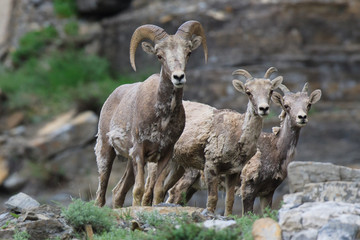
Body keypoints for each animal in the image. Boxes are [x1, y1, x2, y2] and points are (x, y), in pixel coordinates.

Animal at [148, 66, 282, 215]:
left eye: (270, 90)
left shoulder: (234, 171)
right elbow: (212, 199)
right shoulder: (210, 166)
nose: (263, 108)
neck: (237, 136)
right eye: (248, 92)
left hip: (176, 166)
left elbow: (229, 201)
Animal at [240, 83, 322, 215]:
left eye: (309, 104)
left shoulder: (268, 190)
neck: (275, 149)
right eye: (286, 105)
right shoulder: (248, 187)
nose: (302, 117)